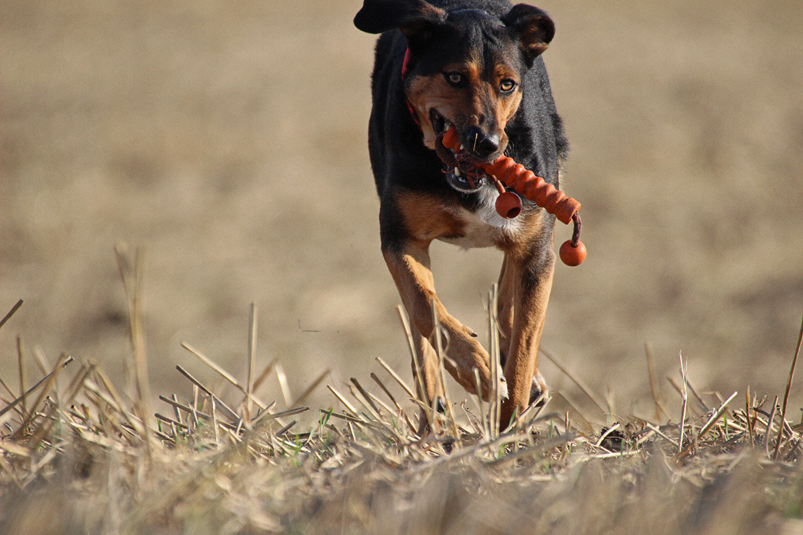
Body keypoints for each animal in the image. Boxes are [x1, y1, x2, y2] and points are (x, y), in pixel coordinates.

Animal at [354, 0, 568, 430]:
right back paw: (434, 419)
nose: (486, 144)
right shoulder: (401, 240)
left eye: (507, 84)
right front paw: (477, 371)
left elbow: (523, 343)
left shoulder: (537, 247)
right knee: (421, 329)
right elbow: (424, 306)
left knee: (510, 296)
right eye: (453, 76)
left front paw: (508, 426)